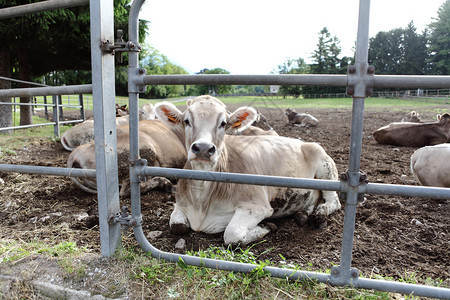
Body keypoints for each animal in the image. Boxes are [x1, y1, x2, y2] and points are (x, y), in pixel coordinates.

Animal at [153, 95, 340, 245]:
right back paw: (303, 213)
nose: (204, 148)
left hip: (325, 168)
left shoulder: (257, 205)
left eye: (223, 123)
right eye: (186, 121)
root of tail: (301, 141)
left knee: (334, 201)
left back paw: (320, 212)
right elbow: (177, 226)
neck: (201, 201)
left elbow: (232, 234)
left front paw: (266, 226)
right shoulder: (180, 203)